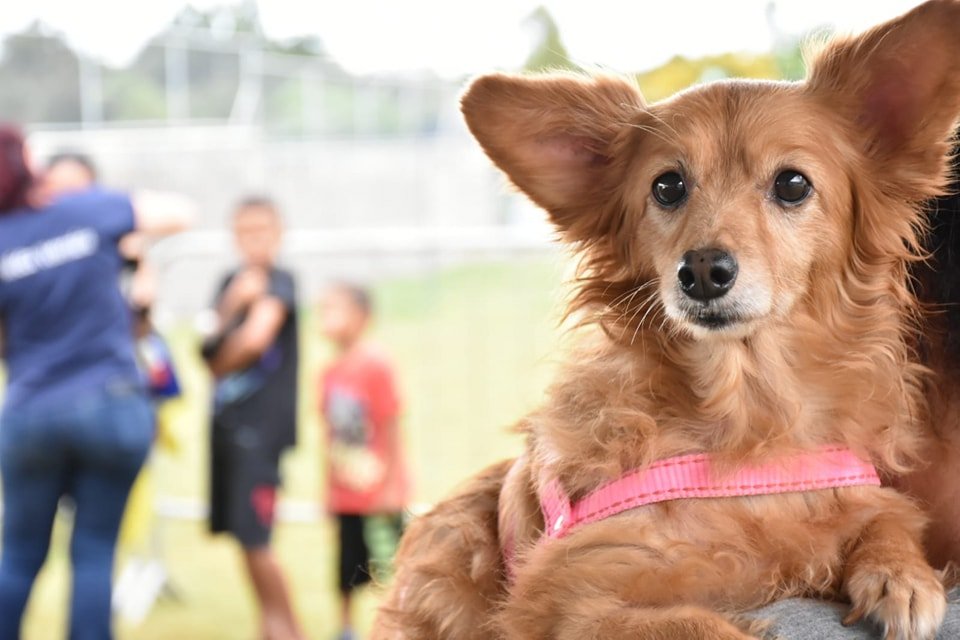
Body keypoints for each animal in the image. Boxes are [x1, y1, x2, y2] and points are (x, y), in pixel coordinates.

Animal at [372, 2, 960, 636]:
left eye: (792, 183)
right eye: (668, 186)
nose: (701, 269)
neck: (747, 419)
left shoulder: (842, 491)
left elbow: (885, 513)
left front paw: (900, 574)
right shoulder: (569, 598)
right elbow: (704, 625)